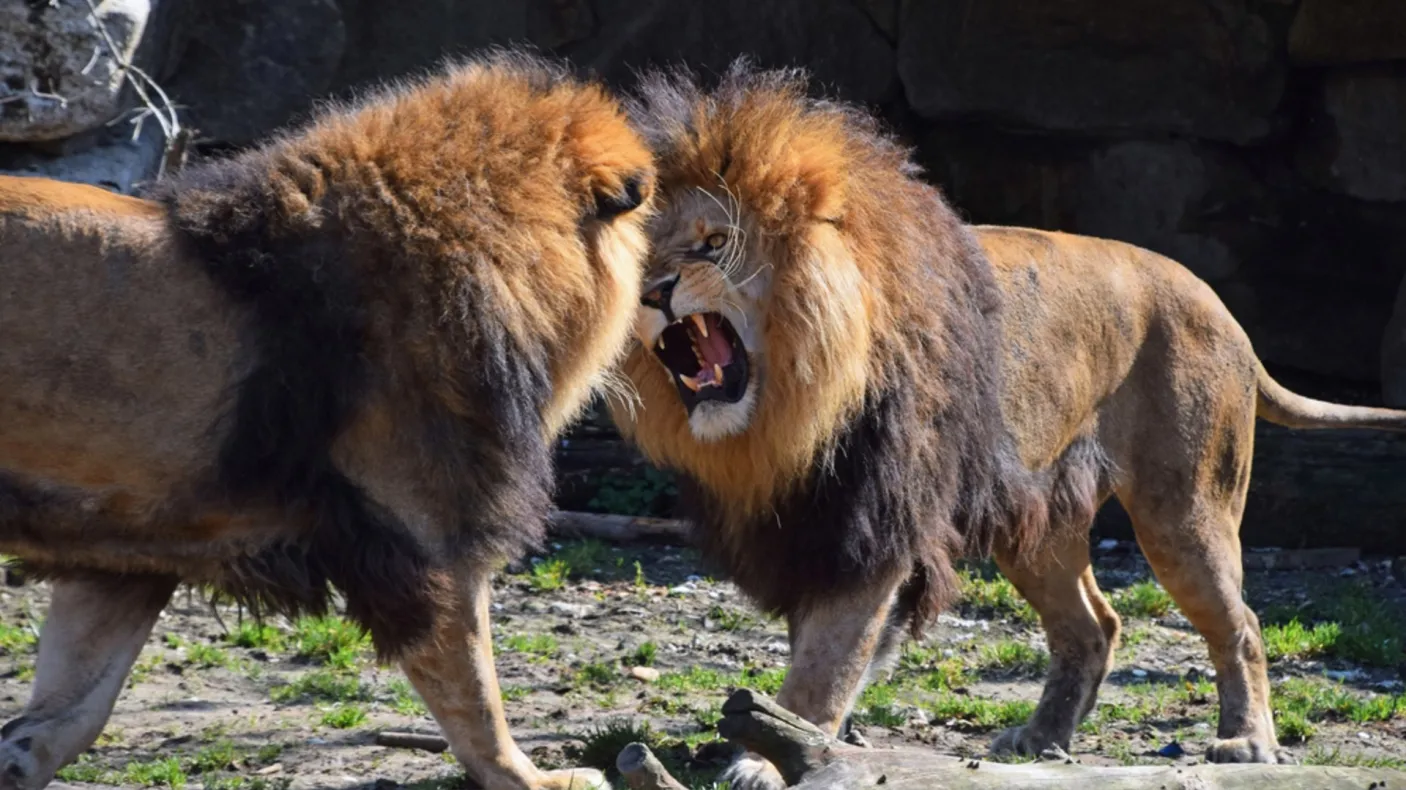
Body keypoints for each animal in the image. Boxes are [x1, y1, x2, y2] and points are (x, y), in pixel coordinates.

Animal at [0, 51, 653, 790]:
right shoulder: (423, 534)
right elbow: (475, 693)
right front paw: (532, 777)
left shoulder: (128, 544)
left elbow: (77, 698)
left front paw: (18, 757)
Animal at [610, 60, 1406, 788]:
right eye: (643, 253)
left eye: (714, 243)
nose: (653, 293)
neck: (787, 412)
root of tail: (1222, 310)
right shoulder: (814, 526)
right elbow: (819, 651)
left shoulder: (874, 526)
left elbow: (826, 664)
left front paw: (766, 757)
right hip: (1039, 519)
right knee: (1095, 625)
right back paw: (1041, 739)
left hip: (1184, 508)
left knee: (1240, 623)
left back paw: (1246, 742)